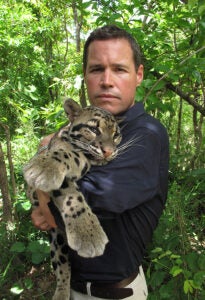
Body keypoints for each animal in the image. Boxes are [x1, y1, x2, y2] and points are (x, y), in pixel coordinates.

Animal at [23, 99, 121, 300]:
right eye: (94, 129)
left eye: (116, 135)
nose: (108, 152)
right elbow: (69, 188)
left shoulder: (85, 162)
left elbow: (77, 158)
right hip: (57, 241)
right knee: (62, 267)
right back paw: (61, 292)